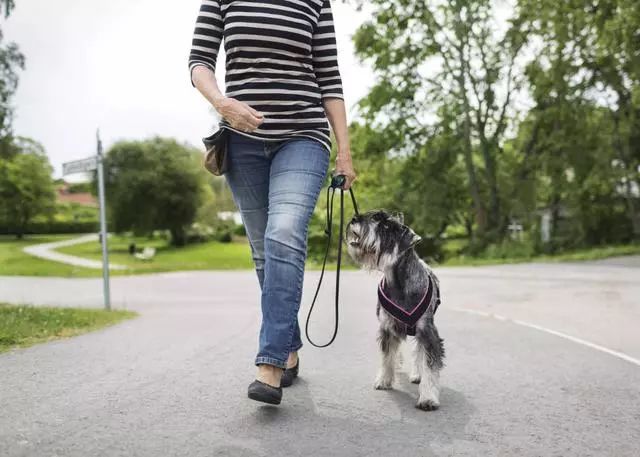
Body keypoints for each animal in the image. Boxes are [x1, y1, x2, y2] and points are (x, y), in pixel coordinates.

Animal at [344, 210, 444, 410]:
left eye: (386, 226)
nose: (354, 219)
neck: (398, 284)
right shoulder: (387, 328)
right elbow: (387, 356)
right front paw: (384, 380)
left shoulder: (427, 332)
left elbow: (429, 363)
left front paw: (428, 397)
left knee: (418, 352)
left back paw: (417, 374)